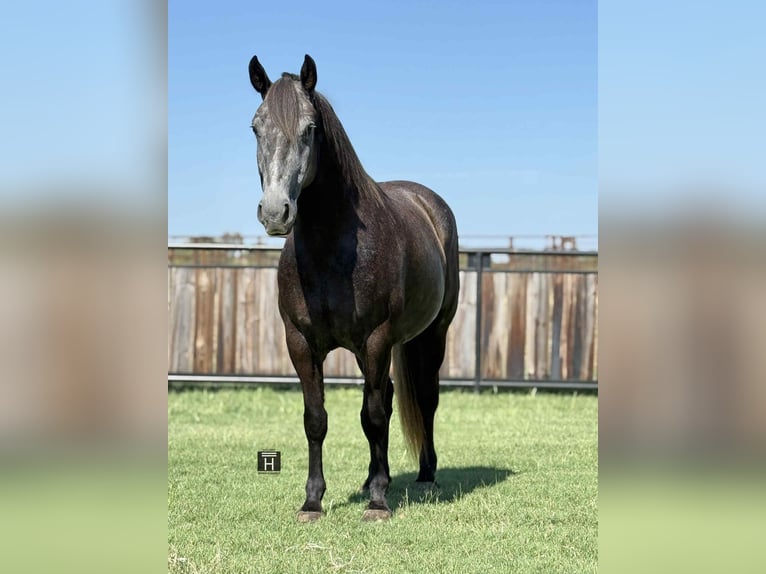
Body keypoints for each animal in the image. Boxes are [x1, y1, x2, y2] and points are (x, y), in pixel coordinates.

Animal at [248, 54, 459, 522]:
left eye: (310, 128)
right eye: (255, 126)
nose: (275, 212)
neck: (333, 248)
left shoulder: (376, 338)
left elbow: (374, 417)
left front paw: (378, 503)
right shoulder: (301, 343)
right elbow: (316, 419)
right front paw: (312, 501)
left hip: (431, 335)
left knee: (425, 399)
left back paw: (424, 474)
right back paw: (372, 479)